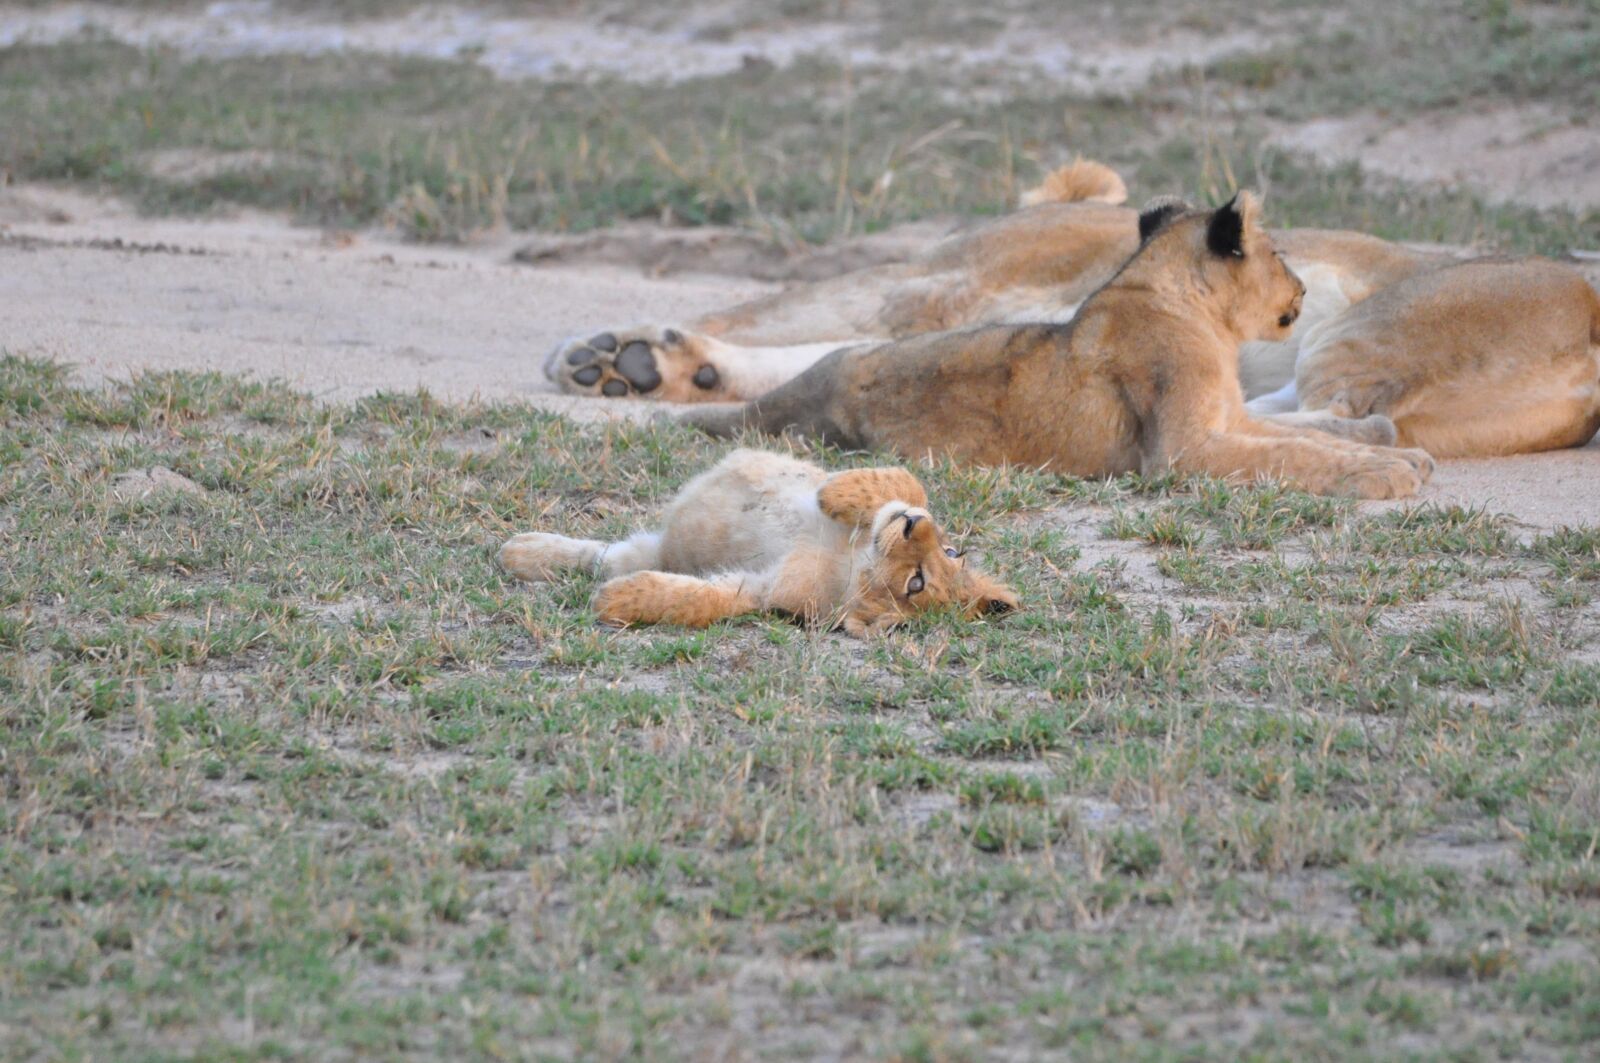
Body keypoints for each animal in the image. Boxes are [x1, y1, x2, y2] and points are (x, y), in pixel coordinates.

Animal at [497, 449, 1019, 637]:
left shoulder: (767, 591)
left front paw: (616, 601)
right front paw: (838, 493)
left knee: (608, 560)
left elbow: (701, 599)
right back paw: (518, 550)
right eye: (950, 553)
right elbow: (908, 480)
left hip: (650, 552)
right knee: (593, 553)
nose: (913, 525)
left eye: (916, 584)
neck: (851, 562)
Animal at [678, 193, 1441, 500]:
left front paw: (1394, 455)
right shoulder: (1181, 452)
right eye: (1280, 252)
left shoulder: (1231, 418)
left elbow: (1306, 440)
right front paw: (1384, 473)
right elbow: (1293, 455)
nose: (1305, 287)